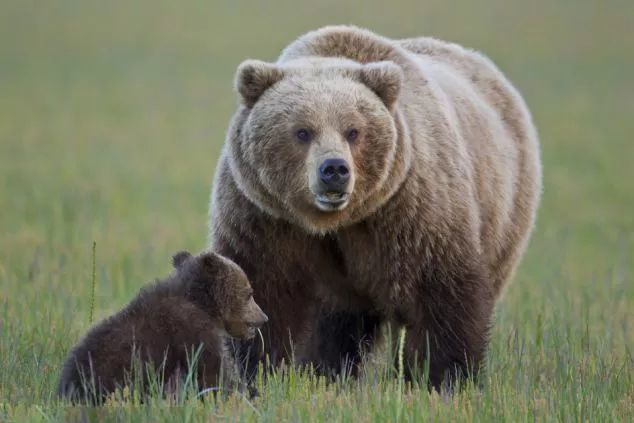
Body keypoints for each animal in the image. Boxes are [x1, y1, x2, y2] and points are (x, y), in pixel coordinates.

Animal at [207, 25, 540, 390]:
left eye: (353, 130)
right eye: (302, 131)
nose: (334, 170)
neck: (333, 223)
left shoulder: (411, 211)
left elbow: (441, 292)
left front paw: (441, 378)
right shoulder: (264, 218)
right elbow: (263, 289)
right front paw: (259, 374)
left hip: (505, 211)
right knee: (338, 323)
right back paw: (329, 372)